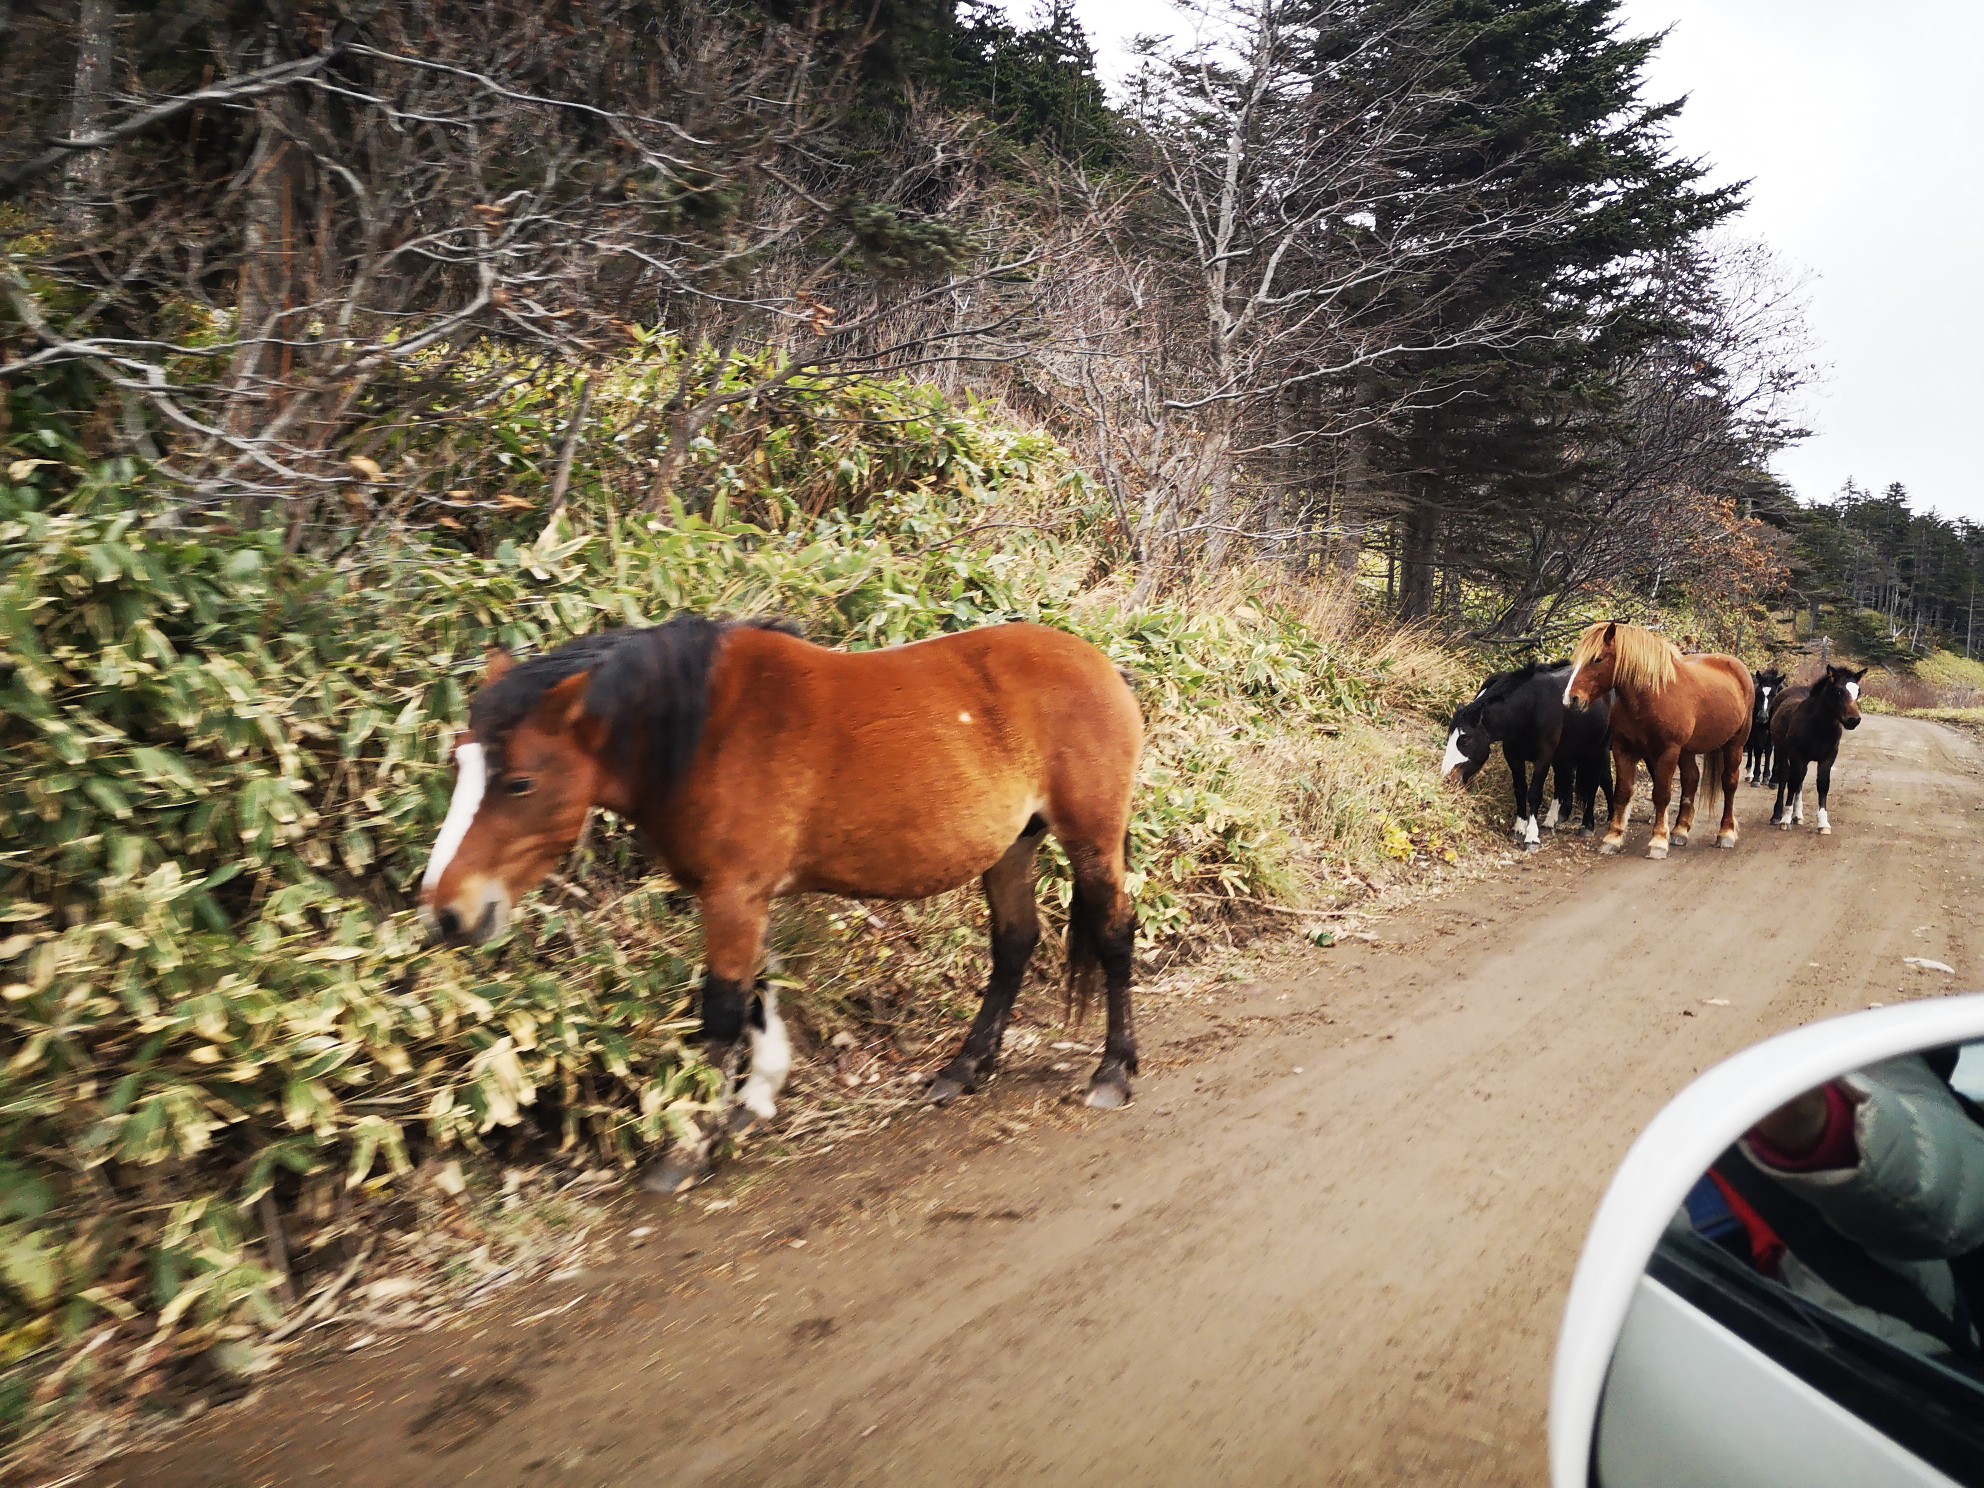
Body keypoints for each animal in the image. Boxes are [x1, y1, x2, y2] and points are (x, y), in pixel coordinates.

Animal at [414, 615, 1150, 1190]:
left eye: (519, 782)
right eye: (460, 765)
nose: (447, 912)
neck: (704, 731)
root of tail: (1100, 665)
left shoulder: (734, 894)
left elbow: (721, 1010)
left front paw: (689, 1147)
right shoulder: (746, 895)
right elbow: (754, 997)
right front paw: (751, 1103)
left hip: (1090, 835)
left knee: (1114, 933)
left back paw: (1112, 1071)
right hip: (1012, 847)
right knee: (1014, 944)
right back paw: (965, 1067)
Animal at [1452, 662, 1618, 849]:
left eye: (1464, 739)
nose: (1450, 777)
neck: (1528, 709)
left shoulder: (1543, 758)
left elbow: (1534, 793)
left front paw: (1532, 836)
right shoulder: (1513, 756)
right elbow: (1520, 789)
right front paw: (1518, 829)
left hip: (1598, 750)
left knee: (1596, 783)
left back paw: (1588, 825)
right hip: (1564, 755)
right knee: (1564, 781)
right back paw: (1552, 820)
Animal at [1563, 622, 1753, 861]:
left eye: (1598, 659)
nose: (1571, 699)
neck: (1650, 696)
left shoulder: (1667, 752)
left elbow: (1661, 794)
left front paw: (1658, 841)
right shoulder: (1624, 750)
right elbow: (1622, 792)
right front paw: (1613, 838)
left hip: (1734, 745)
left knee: (1729, 783)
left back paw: (1725, 833)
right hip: (1687, 751)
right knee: (1691, 779)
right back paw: (1680, 830)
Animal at [1777, 666, 1864, 833]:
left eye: (1859, 691)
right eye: (1838, 691)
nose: (1854, 720)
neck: (1818, 727)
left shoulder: (1828, 757)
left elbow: (1823, 784)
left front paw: (1823, 823)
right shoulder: (1797, 756)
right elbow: (1792, 782)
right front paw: (1785, 819)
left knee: (1800, 780)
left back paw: (1798, 816)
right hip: (1782, 752)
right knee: (1786, 776)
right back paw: (1778, 815)